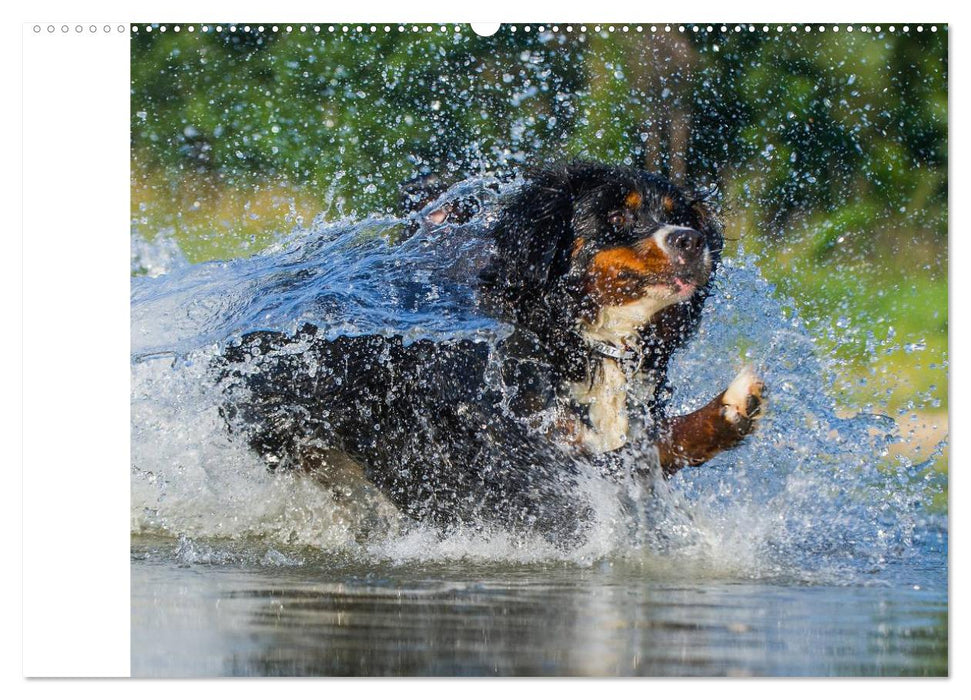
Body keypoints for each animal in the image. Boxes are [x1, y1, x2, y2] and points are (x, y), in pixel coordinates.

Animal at [216, 163, 764, 540]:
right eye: (615, 214)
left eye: (680, 217)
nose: (690, 241)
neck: (569, 334)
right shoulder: (506, 450)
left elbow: (655, 443)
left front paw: (730, 411)